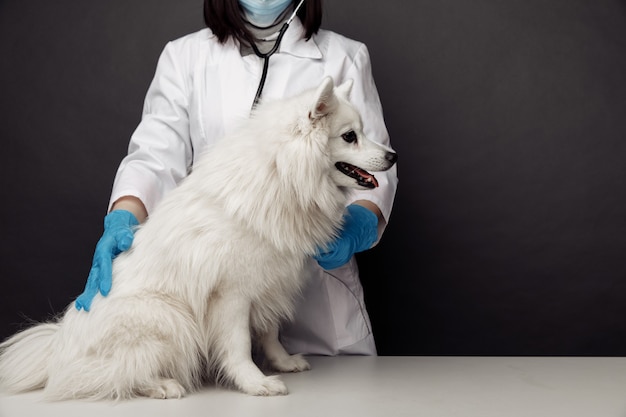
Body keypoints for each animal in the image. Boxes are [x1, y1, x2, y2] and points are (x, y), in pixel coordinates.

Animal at [1, 77, 394, 400]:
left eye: (363, 130)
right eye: (349, 136)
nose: (393, 156)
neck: (280, 176)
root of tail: (56, 349)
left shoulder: (268, 283)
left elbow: (270, 332)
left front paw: (282, 363)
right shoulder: (232, 295)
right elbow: (238, 345)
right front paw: (254, 383)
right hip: (169, 318)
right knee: (112, 374)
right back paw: (161, 385)